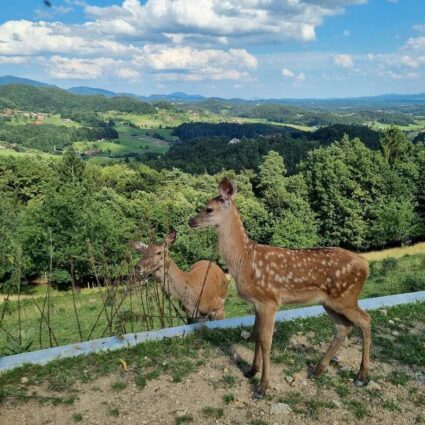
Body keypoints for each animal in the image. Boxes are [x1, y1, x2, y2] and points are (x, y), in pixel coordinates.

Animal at [189, 177, 372, 396]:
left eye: (208, 208)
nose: (190, 221)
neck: (244, 259)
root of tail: (365, 264)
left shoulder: (269, 301)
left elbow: (266, 340)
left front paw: (262, 386)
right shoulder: (256, 303)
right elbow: (256, 335)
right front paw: (252, 371)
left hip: (345, 297)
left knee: (365, 320)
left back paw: (362, 375)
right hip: (330, 301)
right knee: (344, 327)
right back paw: (318, 369)